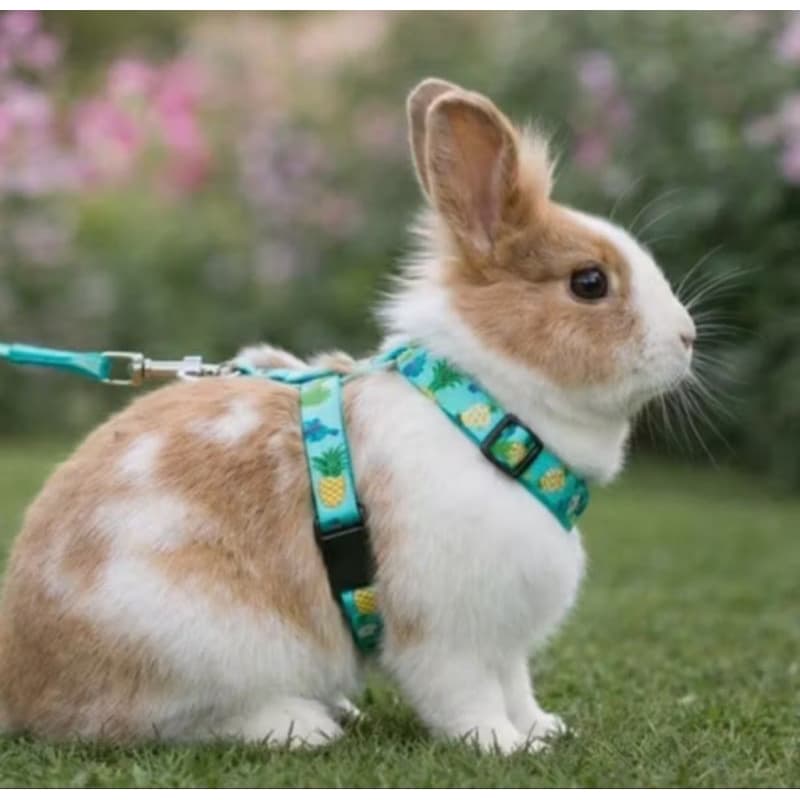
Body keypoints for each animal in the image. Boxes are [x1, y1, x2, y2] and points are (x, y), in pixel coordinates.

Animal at [0, 78, 695, 754]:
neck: (484, 412)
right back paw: (304, 725)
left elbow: (517, 687)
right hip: (193, 644)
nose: (688, 337)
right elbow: (469, 698)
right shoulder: (446, 634)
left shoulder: (505, 640)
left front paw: (543, 730)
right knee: (170, 723)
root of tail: (22, 683)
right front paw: (503, 746)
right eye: (589, 283)